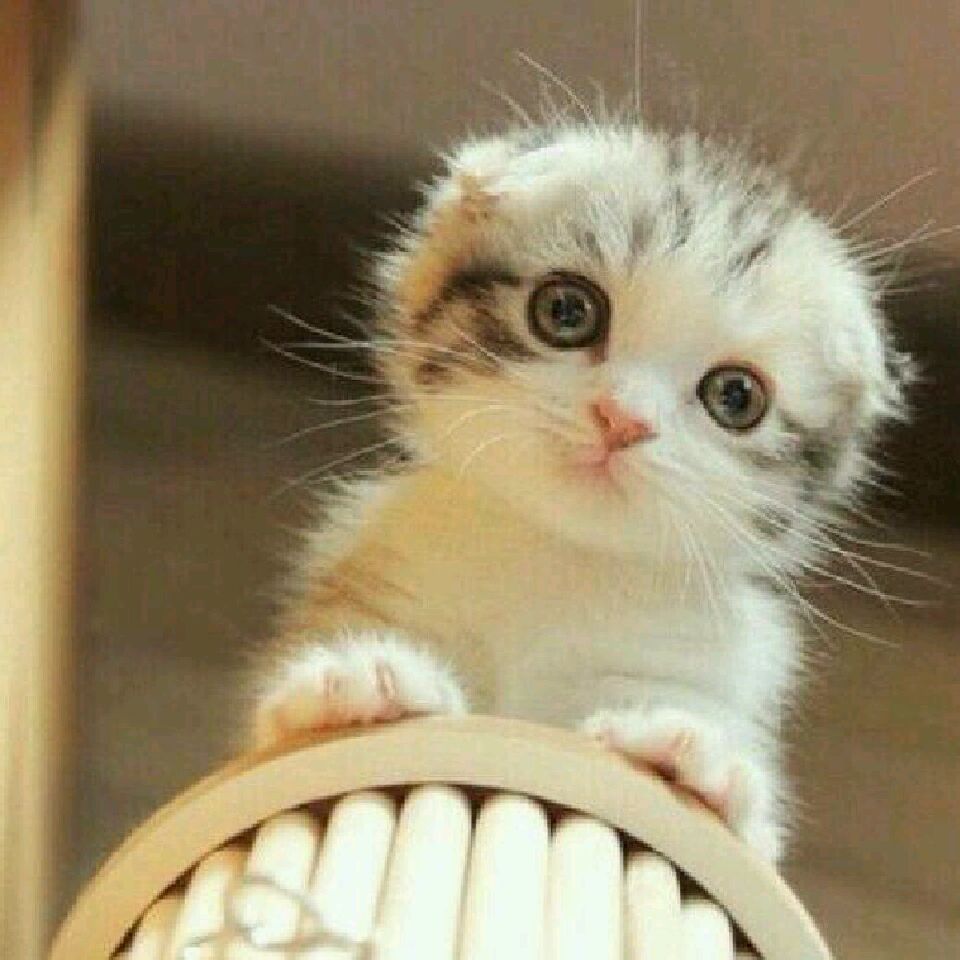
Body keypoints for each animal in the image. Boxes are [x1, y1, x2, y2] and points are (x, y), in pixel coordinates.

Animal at [251, 121, 908, 862]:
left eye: (736, 397)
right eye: (567, 310)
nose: (622, 420)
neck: (557, 563)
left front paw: (694, 762)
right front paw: (357, 683)